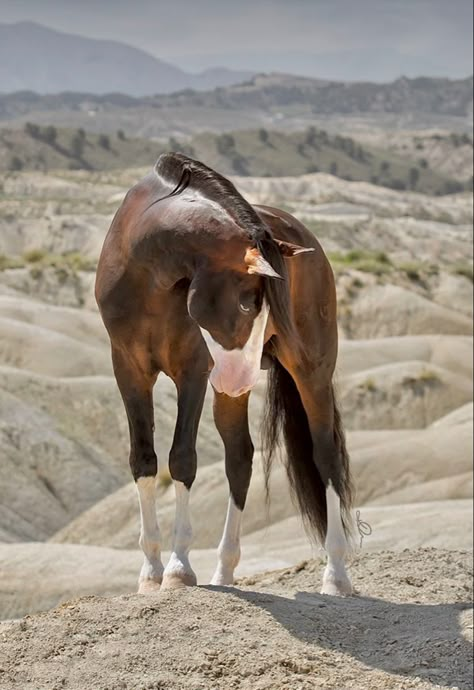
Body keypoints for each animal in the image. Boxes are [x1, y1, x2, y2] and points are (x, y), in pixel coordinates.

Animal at [94, 153, 354, 592]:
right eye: (249, 303)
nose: (240, 379)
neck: (148, 273)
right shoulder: (128, 368)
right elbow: (143, 459)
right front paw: (150, 574)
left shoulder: (193, 371)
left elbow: (182, 458)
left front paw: (179, 569)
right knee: (240, 458)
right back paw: (225, 571)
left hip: (311, 371)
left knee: (326, 455)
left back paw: (336, 576)